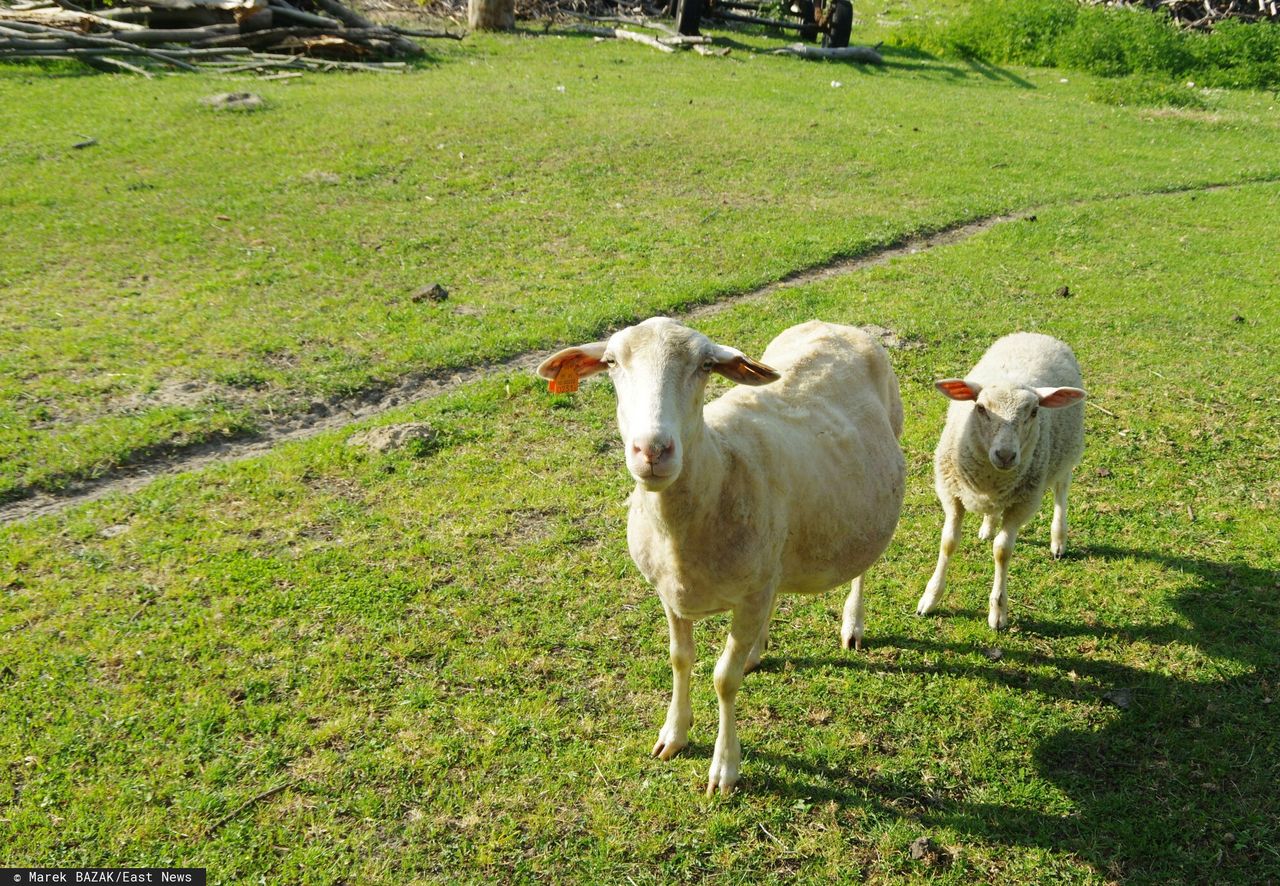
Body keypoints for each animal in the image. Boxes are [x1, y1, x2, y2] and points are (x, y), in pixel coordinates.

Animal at [535, 318, 906, 793]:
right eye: (612, 362)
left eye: (705, 365)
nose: (653, 450)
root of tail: (833, 324)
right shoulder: (671, 593)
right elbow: (680, 658)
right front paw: (673, 734)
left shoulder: (748, 594)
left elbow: (723, 679)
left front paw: (724, 767)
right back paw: (756, 648)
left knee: (861, 568)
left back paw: (852, 624)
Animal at [916, 332, 1085, 629]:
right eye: (981, 408)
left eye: (1034, 412)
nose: (1005, 455)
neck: (991, 480)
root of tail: (1036, 334)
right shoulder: (951, 492)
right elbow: (948, 542)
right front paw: (931, 597)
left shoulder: (1023, 504)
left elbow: (1002, 551)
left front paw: (998, 610)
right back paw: (988, 526)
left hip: (1066, 454)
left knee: (1061, 493)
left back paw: (1058, 540)